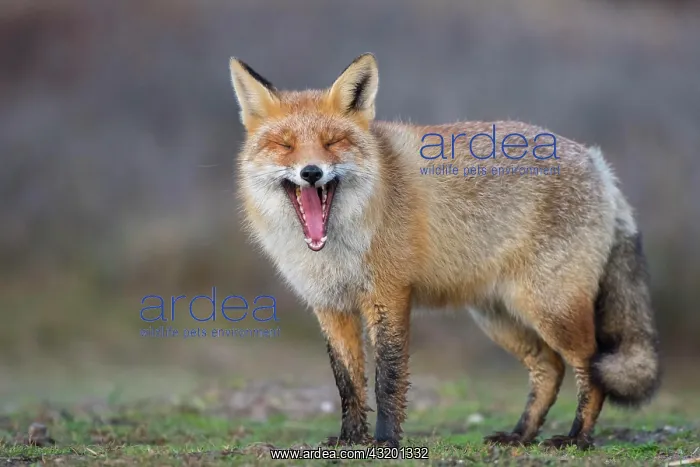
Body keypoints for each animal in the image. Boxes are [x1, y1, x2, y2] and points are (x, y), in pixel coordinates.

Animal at [227, 53, 660, 450]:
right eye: (284, 145)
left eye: (333, 142)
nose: (312, 172)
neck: (333, 248)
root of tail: (596, 162)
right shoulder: (330, 306)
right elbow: (347, 383)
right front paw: (350, 441)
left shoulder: (389, 297)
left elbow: (387, 380)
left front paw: (385, 442)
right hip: (499, 316)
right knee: (550, 368)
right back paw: (520, 435)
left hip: (552, 308)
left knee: (591, 367)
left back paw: (576, 439)